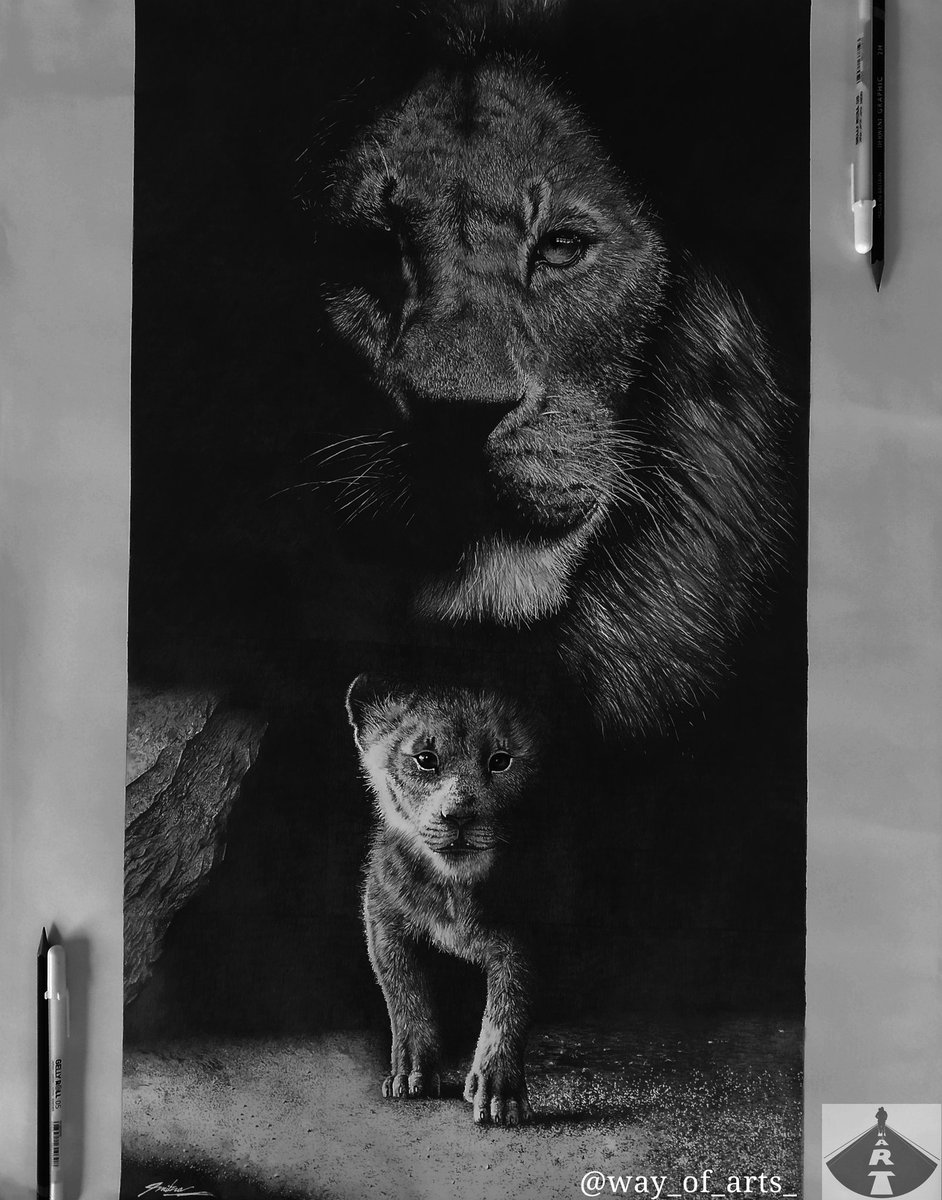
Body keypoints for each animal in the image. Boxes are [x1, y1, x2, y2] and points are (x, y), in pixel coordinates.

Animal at [346, 672, 542, 1126]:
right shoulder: (383, 921)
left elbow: (508, 1011)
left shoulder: (523, 935)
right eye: (426, 760)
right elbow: (406, 998)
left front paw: (500, 1094)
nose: (459, 816)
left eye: (500, 761)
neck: (454, 889)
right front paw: (411, 1075)